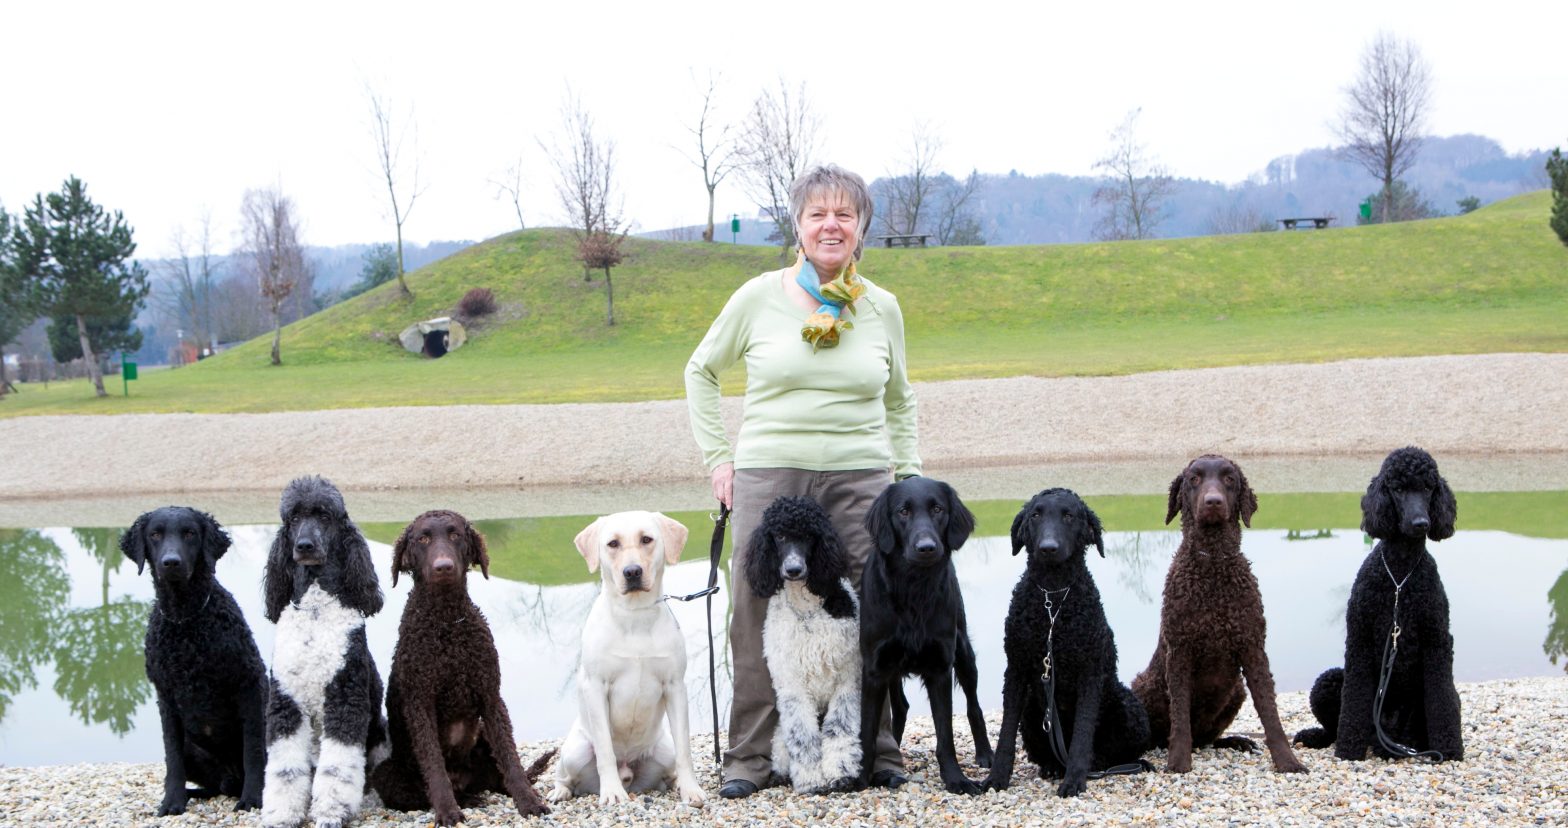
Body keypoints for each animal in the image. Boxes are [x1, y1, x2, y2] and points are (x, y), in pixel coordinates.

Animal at [121, 504, 266, 815]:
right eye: (154, 534)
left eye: (189, 533)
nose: (171, 563)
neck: (185, 619)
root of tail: (230, 778)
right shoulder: (165, 697)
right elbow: (172, 758)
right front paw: (172, 801)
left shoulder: (249, 683)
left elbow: (253, 750)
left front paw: (253, 798)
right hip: (195, 750)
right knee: (213, 785)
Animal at [743, 495, 865, 793]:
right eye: (779, 536)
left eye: (810, 536)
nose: (793, 569)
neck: (808, 612)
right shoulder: (791, 685)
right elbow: (802, 734)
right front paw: (811, 779)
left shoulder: (848, 680)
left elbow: (839, 729)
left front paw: (840, 773)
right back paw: (780, 774)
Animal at [984, 492, 1160, 796]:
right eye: (1035, 515)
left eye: (1069, 516)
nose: (1048, 548)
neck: (1053, 600)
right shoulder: (1016, 669)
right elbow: (1005, 733)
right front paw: (997, 777)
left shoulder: (1090, 673)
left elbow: (1081, 734)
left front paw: (1074, 779)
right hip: (1032, 710)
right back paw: (1054, 766)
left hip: (1128, 707)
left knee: (1112, 752)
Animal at [1292, 448, 1461, 759]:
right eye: (1398, 489)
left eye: (1428, 488)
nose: (1421, 524)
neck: (1399, 581)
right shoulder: (1358, 639)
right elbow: (1354, 701)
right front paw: (1348, 750)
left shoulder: (1438, 642)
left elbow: (1441, 702)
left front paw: (1450, 750)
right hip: (1328, 681)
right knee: (1333, 727)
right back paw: (1316, 737)